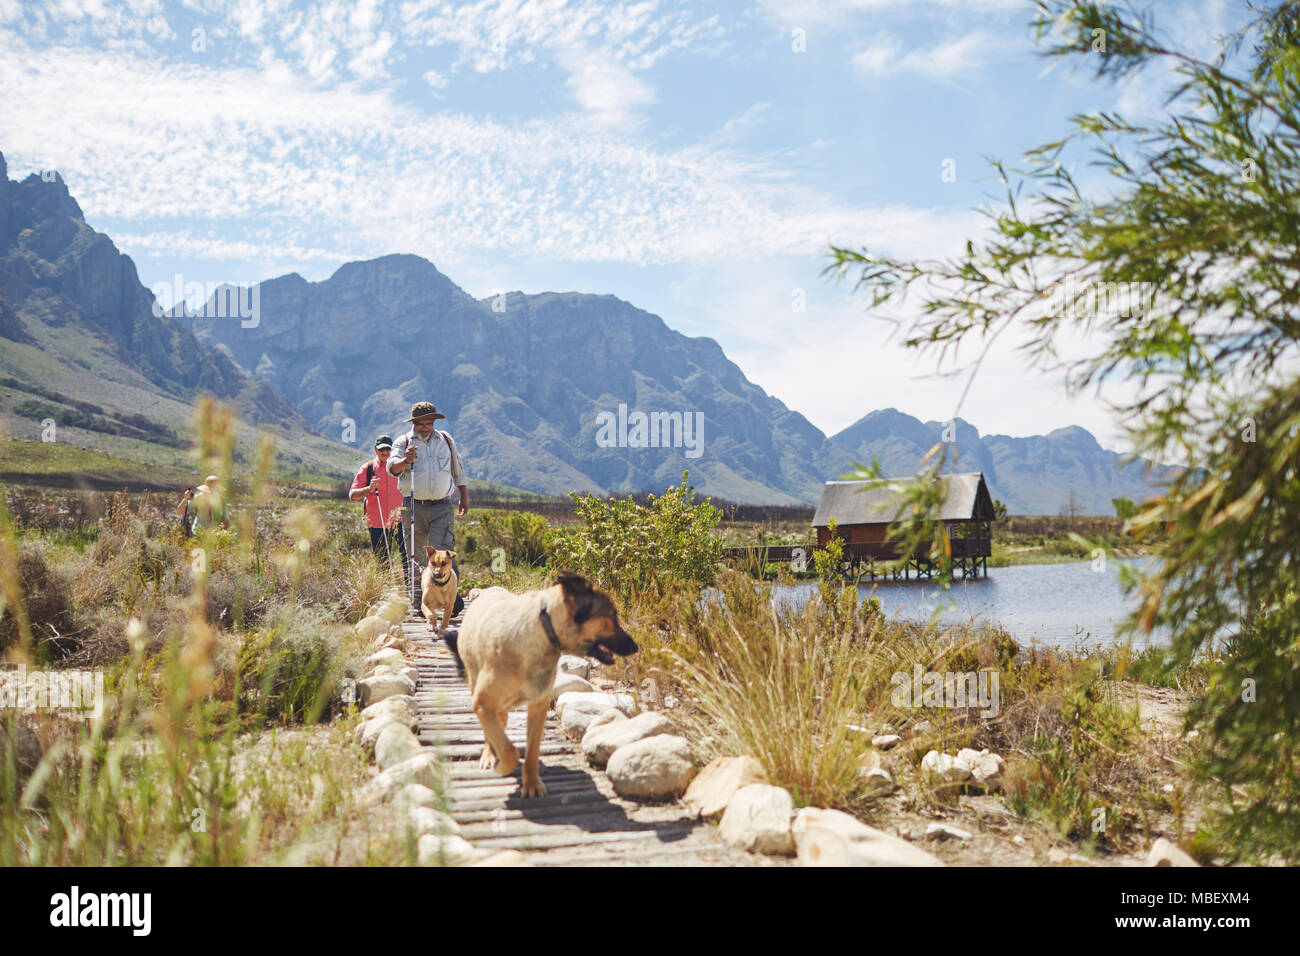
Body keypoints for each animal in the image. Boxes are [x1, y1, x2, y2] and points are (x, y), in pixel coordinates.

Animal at [447, 572, 639, 796]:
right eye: (611, 616)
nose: (635, 647)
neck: (542, 632)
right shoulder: (482, 704)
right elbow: (509, 751)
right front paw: (502, 765)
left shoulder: (538, 707)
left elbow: (532, 751)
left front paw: (531, 783)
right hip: (476, 683)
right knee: (491, 728)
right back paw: (490, 754)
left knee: (501, 718)